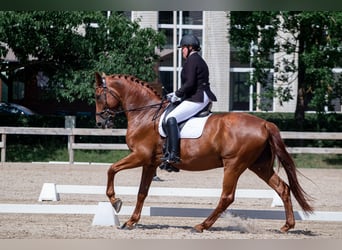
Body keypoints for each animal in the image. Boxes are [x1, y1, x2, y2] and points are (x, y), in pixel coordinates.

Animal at [93, 72, 312, 232]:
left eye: (97, 95)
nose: (100, 123)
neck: (146, 114)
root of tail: (264, 123)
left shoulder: (140, 156)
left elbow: (111, 169)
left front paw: (116, 202)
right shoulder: (150, 163)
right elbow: (142, 193)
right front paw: (131, 221)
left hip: (234, 165)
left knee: (227, 197)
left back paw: (201, 225)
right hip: (259, 165)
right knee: (283, 188)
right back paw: (286, 226)